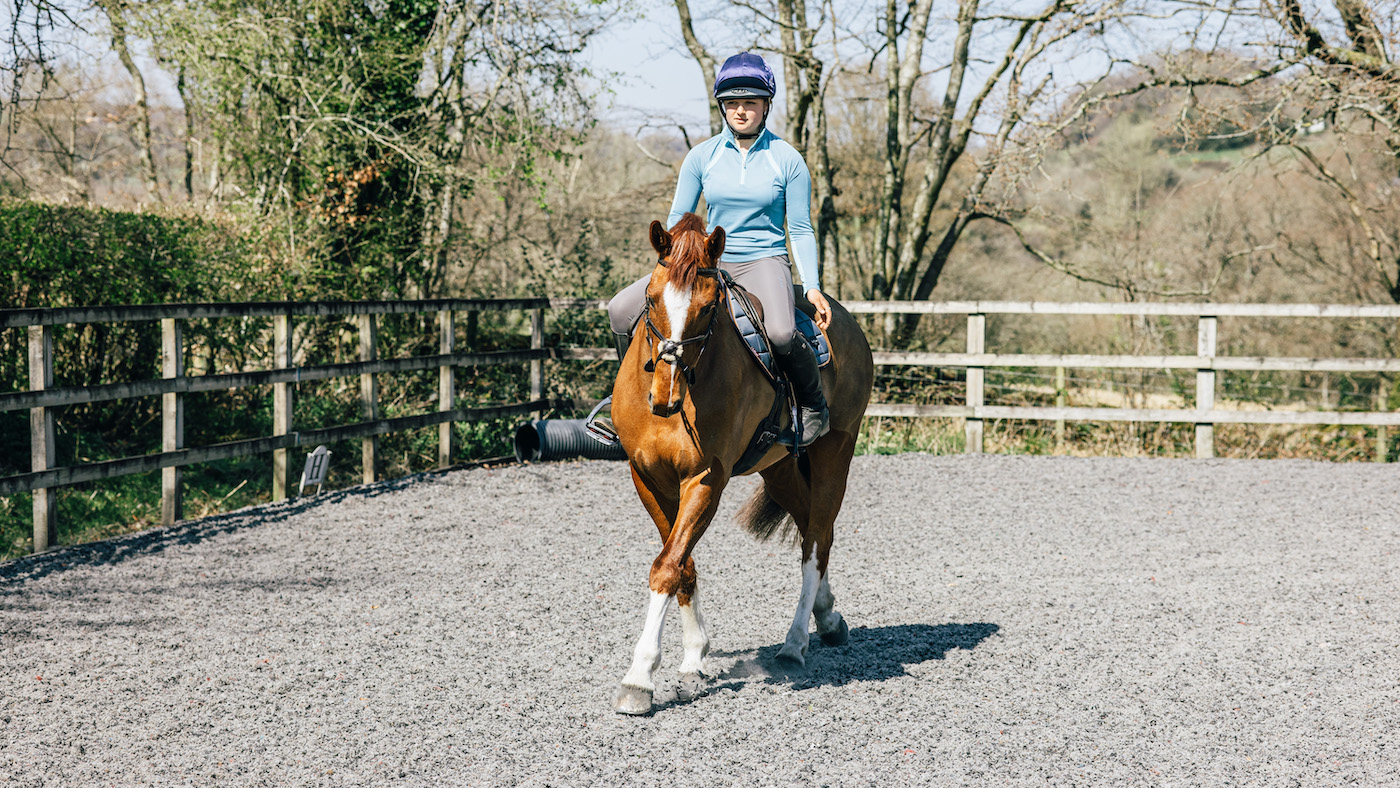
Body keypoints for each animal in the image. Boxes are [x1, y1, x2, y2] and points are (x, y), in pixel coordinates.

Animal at [610, 213, 875, 715]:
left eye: (708, 307)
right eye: (651, 298)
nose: (665, 397)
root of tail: (841, 316)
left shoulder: (705, 480)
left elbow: (668, 565)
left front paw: (639, 678)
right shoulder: (647, 476)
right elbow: (682, 563)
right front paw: (694, 658)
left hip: (837, 450)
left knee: (817, 540)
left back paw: (794, 645)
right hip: (779, 469)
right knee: (810, 527)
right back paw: (828, 617)